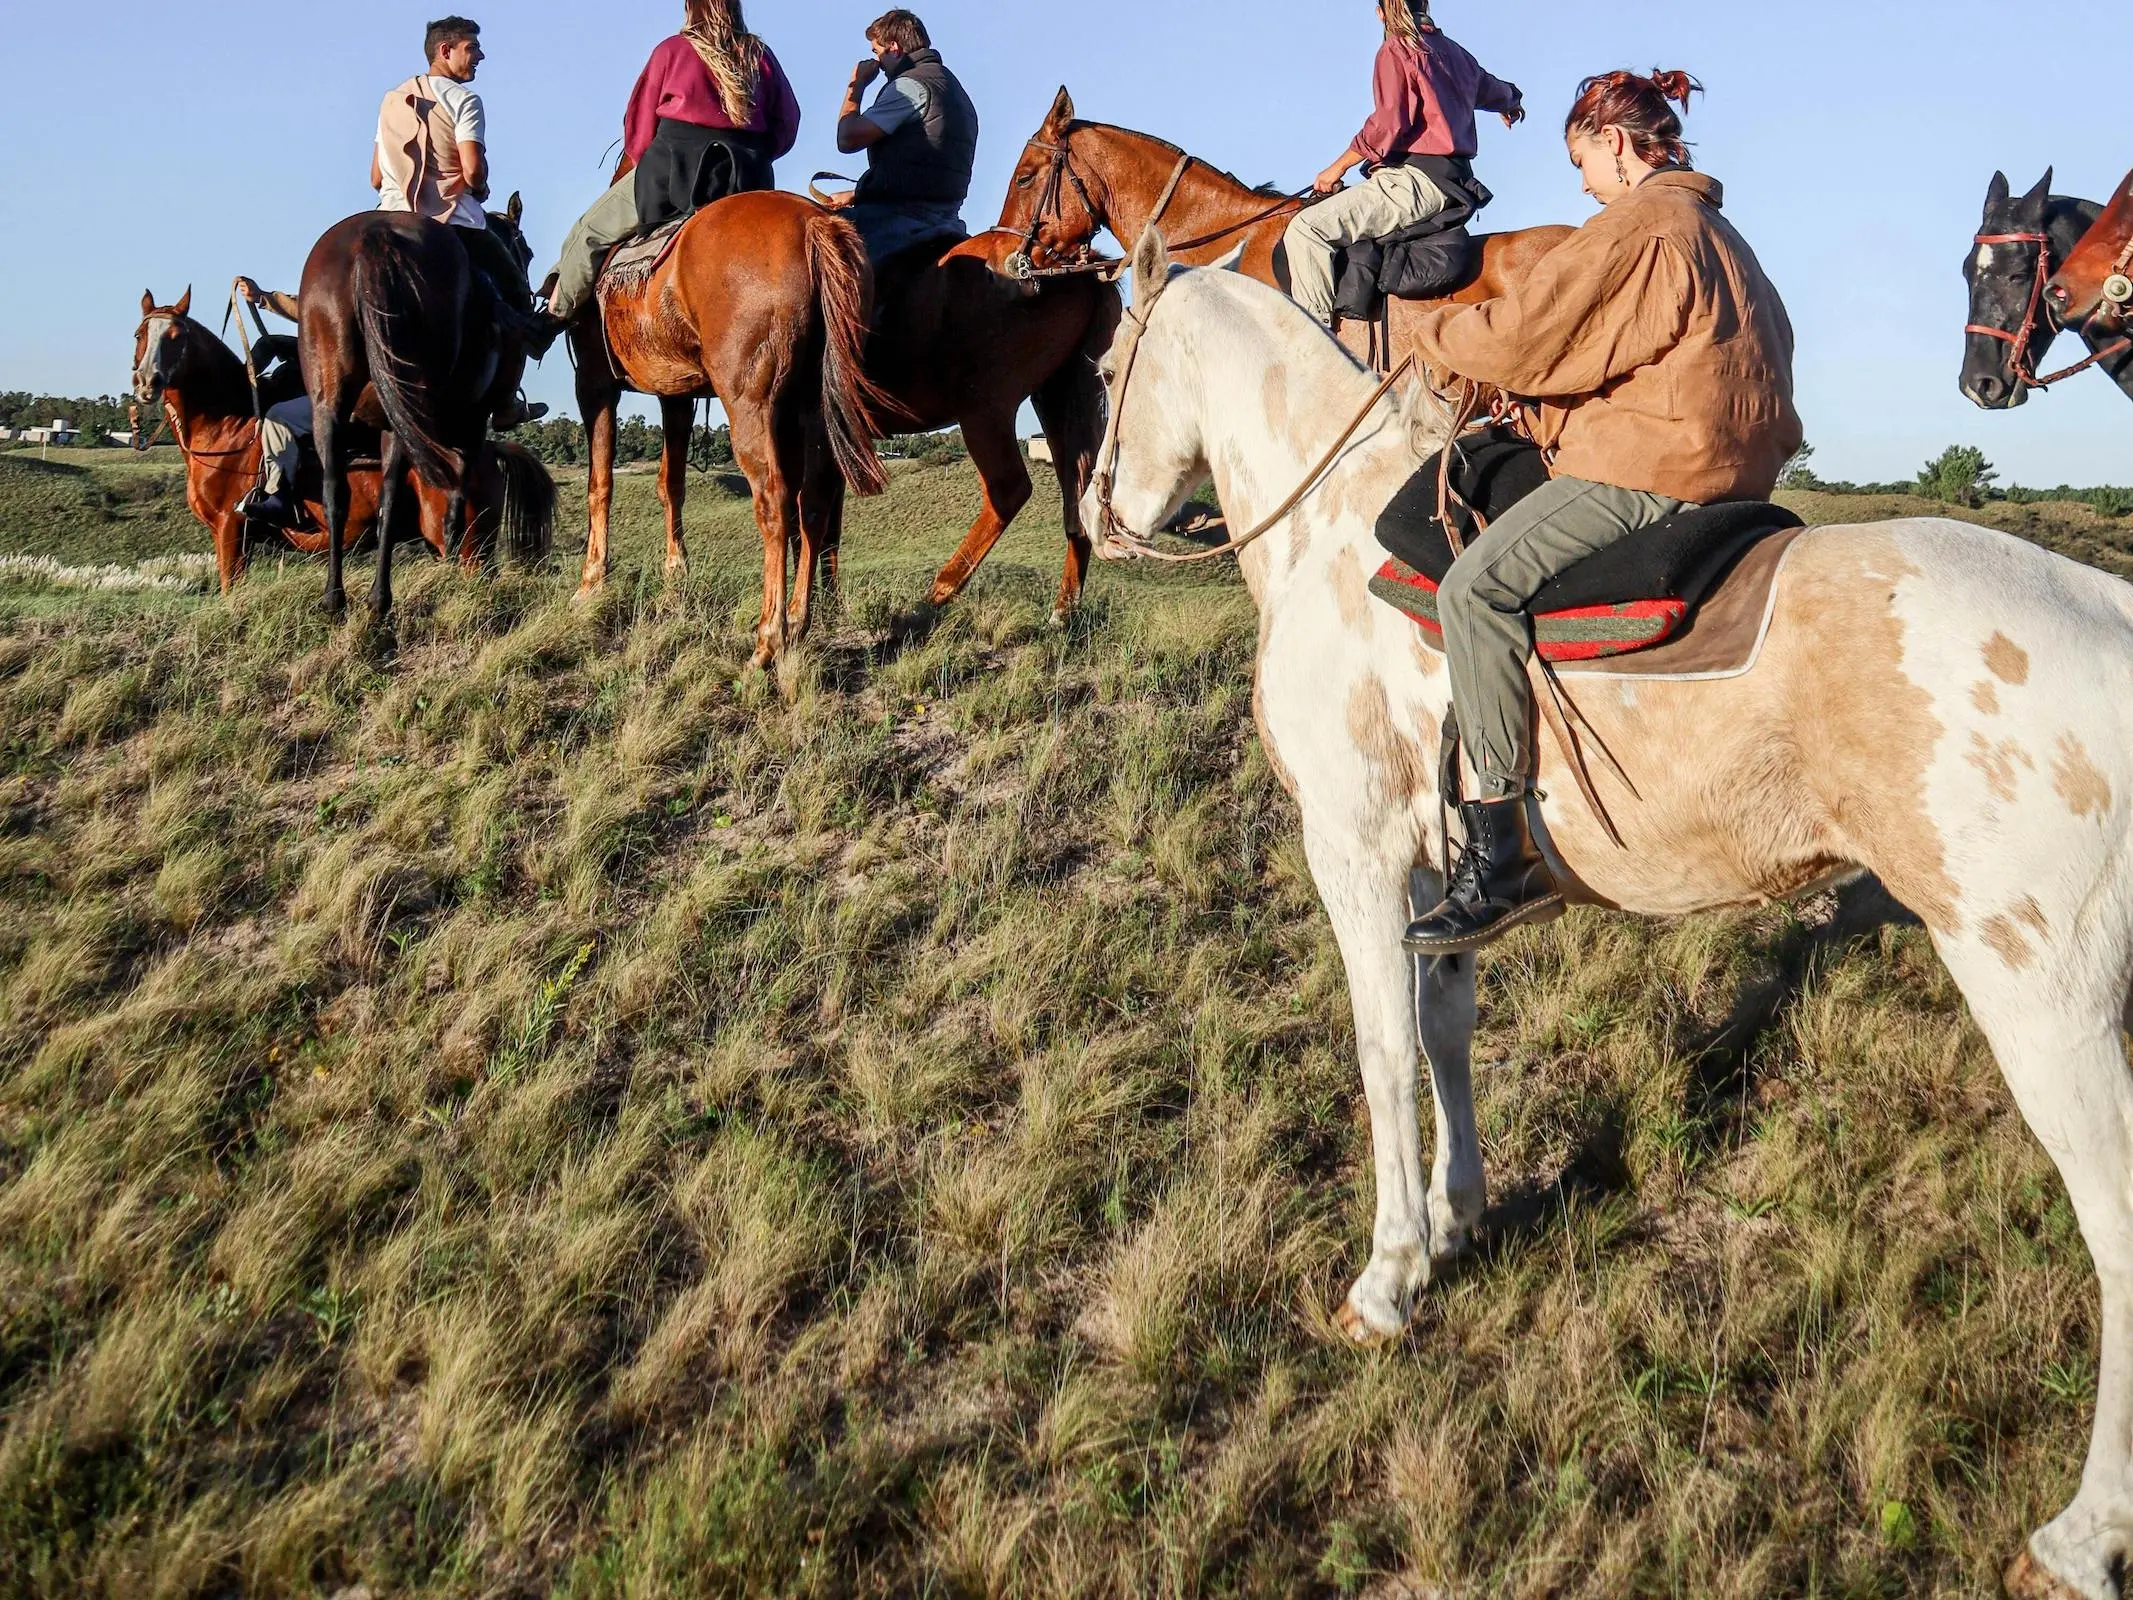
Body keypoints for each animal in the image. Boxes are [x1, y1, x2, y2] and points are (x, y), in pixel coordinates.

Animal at [129, 288, 554, 588]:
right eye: (139, 334)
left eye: (176, 336)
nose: (148, 383)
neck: (225, 426)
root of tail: (488, 448)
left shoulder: (230, 529)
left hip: (467, 548)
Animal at [298, 208, 533, 618]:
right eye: (527, 254)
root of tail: (372, 235)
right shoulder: (473, 416)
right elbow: (460, 477)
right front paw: (452, 545)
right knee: (412, 487)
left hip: (336, 405)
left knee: (339, 495)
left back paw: (337, 597)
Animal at [563, 187, 887, 665]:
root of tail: (815, 224)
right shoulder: (676, 393)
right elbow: (671, 483)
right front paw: (676, 578)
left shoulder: (594, 382)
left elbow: (599, 482)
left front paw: (590, 583)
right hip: (812, 404)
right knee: (813, 502)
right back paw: (797, 621)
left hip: (750, 403)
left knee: (774, 500)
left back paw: (768, 641)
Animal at [1092, 228, 2133, 1600]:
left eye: (1105, 365)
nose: (1098, 516)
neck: (1332, 533)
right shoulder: (1440, 882)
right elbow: (1444, 1032)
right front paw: (1457, 1217)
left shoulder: (1355, 855)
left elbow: (1381, 1055)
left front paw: (1388, 1277)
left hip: (2044, 994)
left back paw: (2081, 1534)